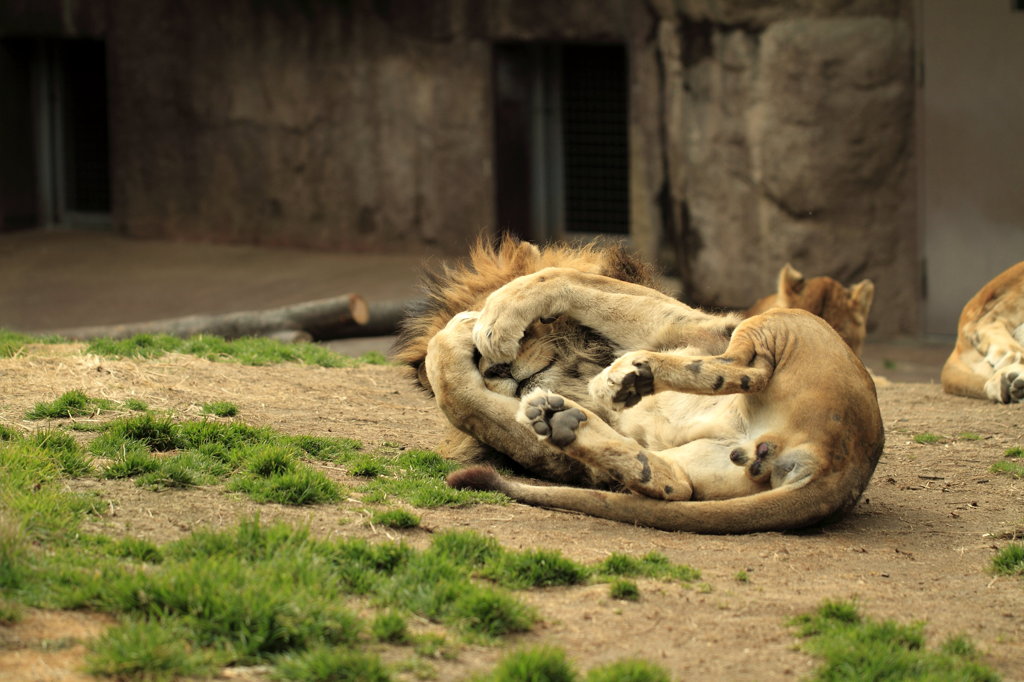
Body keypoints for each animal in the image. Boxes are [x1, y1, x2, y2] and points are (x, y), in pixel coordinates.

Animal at [395, 236, 884, 532]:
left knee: (747, 368)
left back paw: (627, 375)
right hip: (705, 467)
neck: (577, 372)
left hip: (780, 319)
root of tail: (841, 464)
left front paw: (489, 319)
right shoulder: (570, 467)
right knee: (675, 484)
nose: (494, 369)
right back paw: (579, 416)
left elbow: (570, 279)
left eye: (537, 327)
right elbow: (461, 394)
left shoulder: (695, 325)